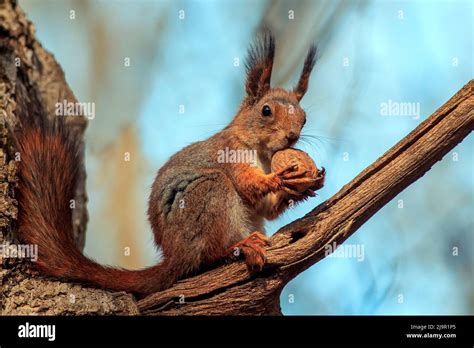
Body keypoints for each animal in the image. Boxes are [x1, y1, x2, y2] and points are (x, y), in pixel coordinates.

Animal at [11, 30, 324, 296]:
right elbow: (247, 184)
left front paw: (304, 186)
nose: (292, 136)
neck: (261, 152)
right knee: (207, 254)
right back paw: (239, 246)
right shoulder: (229, 154)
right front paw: (279, 179)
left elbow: (267, 209)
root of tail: (174, 256)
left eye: (305, 117)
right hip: (207, 196)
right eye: (266, 111)